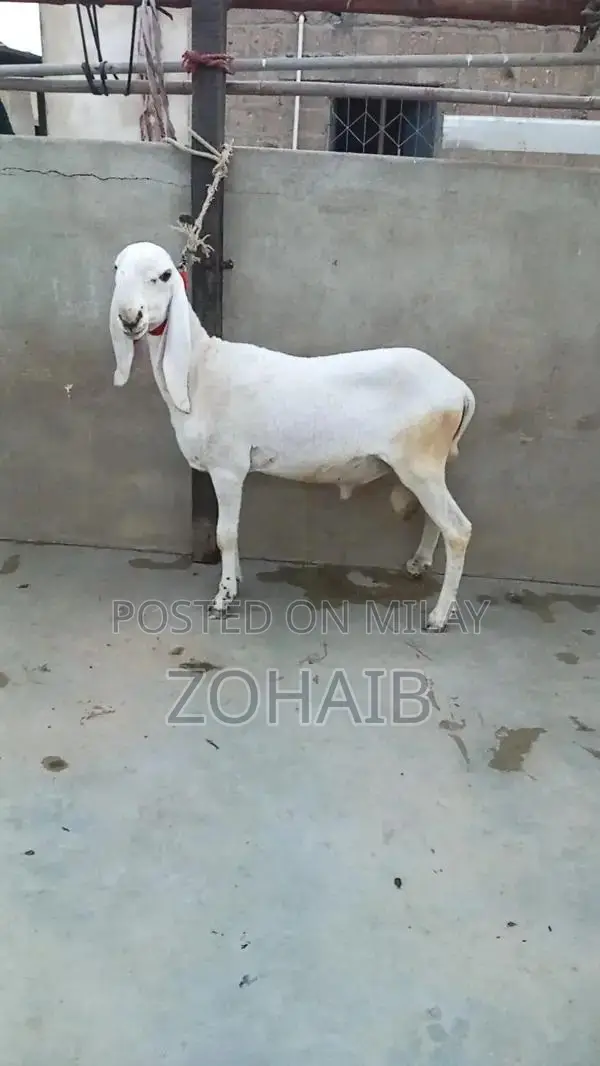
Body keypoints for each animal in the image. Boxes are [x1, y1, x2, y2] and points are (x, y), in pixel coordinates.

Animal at [109, 241, 475, 632]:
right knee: (436, 519)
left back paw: (439, 616)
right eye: (117, 269)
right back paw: (419, 564)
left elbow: (226, 534)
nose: (129, 318)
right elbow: (233, 533)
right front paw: (235, 580)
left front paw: (224, 597)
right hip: (428, 466)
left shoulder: (228, 467)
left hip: (420, 460)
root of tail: (459, 389)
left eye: (164, 275)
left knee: (458, 530)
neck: (199, 370)